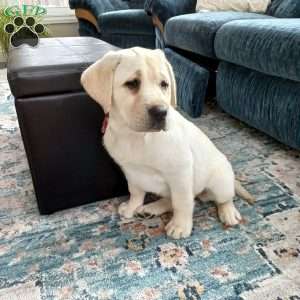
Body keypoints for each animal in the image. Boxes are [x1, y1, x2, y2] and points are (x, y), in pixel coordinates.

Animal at [80, 47, 253, 239]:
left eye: (164, 84)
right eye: (132, 83)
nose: (161, 112)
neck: (137, 136)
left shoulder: (180, 172)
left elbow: (182, 202)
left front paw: (180, 225)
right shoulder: (131, 172)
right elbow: (136, 192)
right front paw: (132, 207)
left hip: (220, 181)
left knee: (223, 198)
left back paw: (229, 212)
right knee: (172, 199)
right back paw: (150, 209)